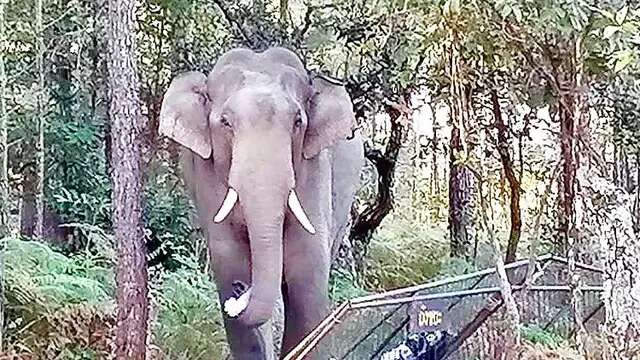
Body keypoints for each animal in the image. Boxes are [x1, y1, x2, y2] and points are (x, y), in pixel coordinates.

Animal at [158, 46, 362, 358]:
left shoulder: (314, 169)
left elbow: (306, 278)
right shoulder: (206, 176)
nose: (240, 290)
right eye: (225, 123)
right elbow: (229, 262)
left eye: (298, 122)